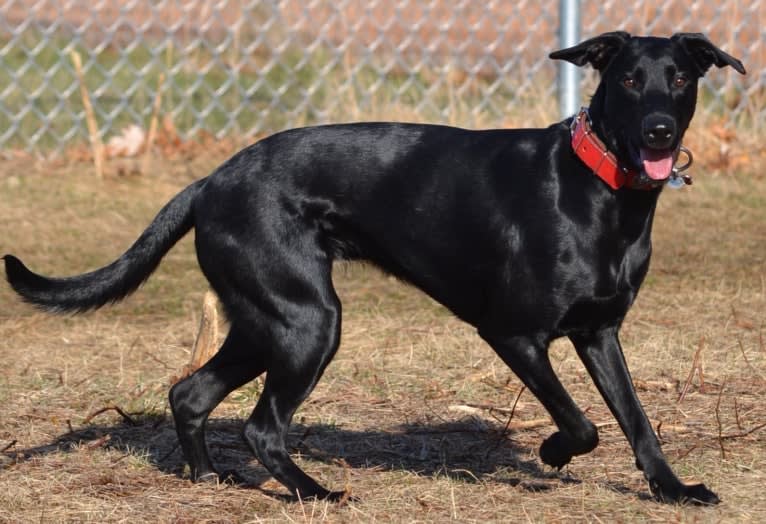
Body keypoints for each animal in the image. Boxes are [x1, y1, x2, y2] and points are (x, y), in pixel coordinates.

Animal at [4, 32, 752, 504]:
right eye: (627, 79)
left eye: (679, 79)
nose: (659, 131)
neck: (601, 191)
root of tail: (208, 182)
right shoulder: (511, 334)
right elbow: (582, 422)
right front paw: (550, 455)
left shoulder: (600, 332)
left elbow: (635, 420)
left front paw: (673, 490)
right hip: (309, 324)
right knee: (261, 425)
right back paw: (314, 492)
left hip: (268, 321)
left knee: (190, 393)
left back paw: (209, 480)